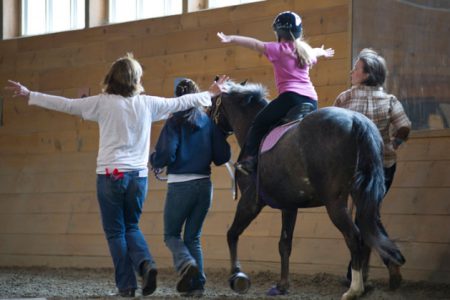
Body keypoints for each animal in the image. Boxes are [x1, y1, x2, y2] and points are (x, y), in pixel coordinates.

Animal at [209, 80, 406, 300]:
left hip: (335, 203)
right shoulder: (289, 207)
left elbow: (232, 234)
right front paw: (282, 285)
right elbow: (284, 244)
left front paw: (237, 276)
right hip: (365, 198)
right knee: (372, 232)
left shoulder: (250, 202)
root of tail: (356, 120)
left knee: (355, 237)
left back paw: (354, 289)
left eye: (212, 104)